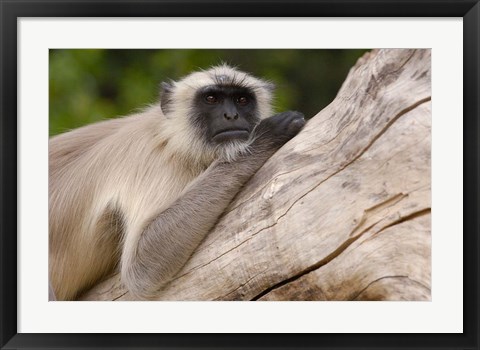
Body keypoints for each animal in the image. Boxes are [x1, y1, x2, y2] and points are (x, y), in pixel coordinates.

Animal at [48, 64, 304, 300]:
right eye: (211, 99)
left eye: (242, 100)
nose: (231, 116)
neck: (171, 136)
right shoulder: (155, 161)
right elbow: (140, 268)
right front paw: (264, 138)